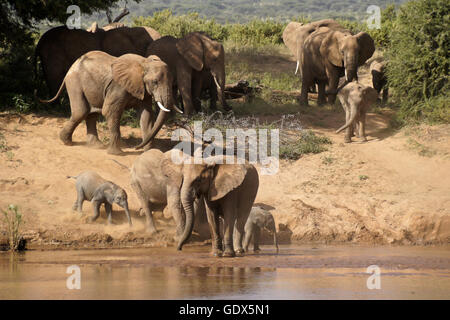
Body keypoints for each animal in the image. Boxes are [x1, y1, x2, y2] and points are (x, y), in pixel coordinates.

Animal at [39, 50, 179, 154]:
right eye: (155, 82)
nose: (136, 147)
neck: (144, 63)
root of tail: (72, 66)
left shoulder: (143, 89)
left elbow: (146, 116)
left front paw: (149, 152)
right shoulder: (118, 86)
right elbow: (110, 111)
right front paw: (117, 154)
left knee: (92, 114)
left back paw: (97, 146)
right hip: (74, 82)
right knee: (81, 111)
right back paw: (67, 142)